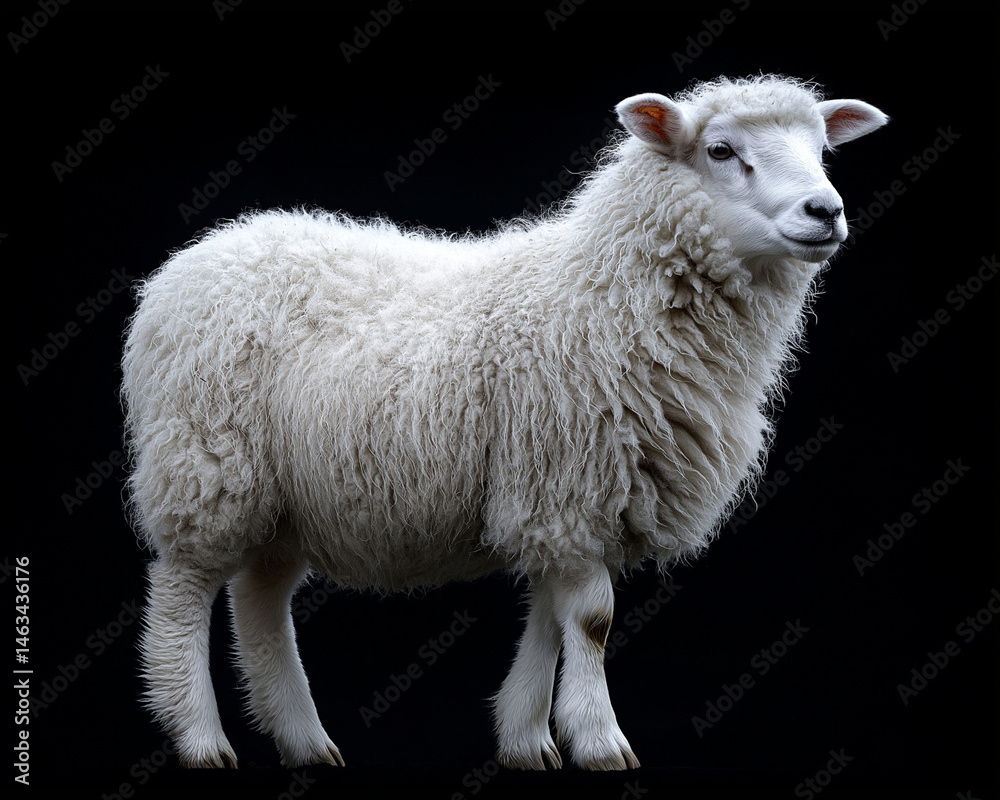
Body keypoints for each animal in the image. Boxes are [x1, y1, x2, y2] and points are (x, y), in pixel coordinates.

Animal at [121, 74, 887, 772]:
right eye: (721, 150)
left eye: (822, 148)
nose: (826, 211)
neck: (604, 292)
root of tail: (198, 257)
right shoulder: (567, 480)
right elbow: (594, 620)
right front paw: (601, 742)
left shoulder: (558, 498)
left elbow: (551, 617)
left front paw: (527, 739)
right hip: (207, 463)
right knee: (185, 592)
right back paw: (200, 738)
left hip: (286, 495)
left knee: (260, 600)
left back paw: (304, 740)